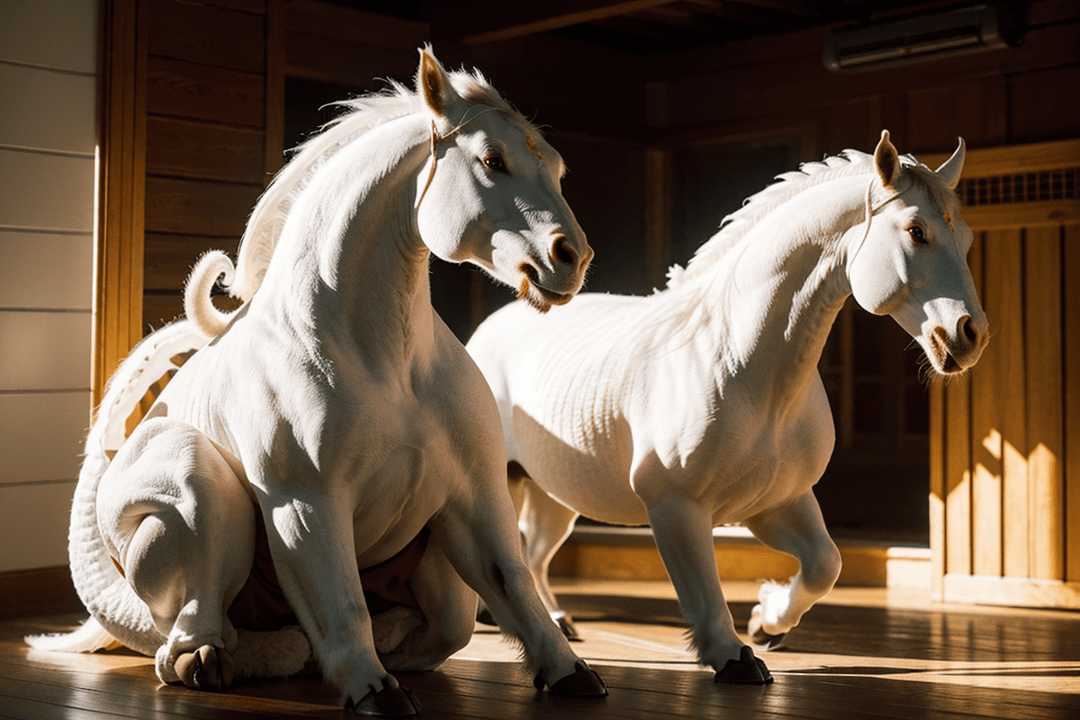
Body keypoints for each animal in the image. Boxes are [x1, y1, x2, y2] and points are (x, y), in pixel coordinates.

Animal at [29, 49, 609, 716]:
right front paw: (371, 687)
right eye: (492, 159)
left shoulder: (474, 493)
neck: (381, 360)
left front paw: (569, 672)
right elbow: (341, 599)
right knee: (184, 637)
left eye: (557, 168)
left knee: (446, 625)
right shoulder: (304, 501)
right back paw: (220, 660)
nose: (569, 258)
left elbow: (511, 583)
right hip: (188, 482)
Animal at [464, 132, 989, 686]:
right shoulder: (676, 505)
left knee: (534, 550)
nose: (970, 335)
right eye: (916, 231)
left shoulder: (776, 502)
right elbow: (702, 586)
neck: (743, 365)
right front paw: (734, 656)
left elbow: (825, 564)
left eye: (966, 238)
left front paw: (767, 623)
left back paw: (557, 620)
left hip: (555, 493)